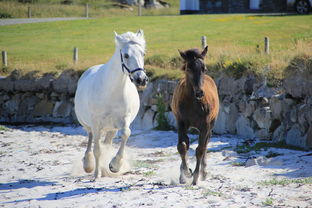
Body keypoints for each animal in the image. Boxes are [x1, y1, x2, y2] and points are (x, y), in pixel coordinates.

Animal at [75, 29, 149, 179]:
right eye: (126, 55)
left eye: (143, 53)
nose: (141, 80)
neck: (111, 91)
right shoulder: (96, 123)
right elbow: (97, 149)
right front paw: (96, 174)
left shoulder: (124, 119)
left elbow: (126, 133)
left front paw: (114, 165)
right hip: (90, 125)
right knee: (91, 138)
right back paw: (88, 165)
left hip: (111, 128)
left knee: (106, 143)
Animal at [171, 46, 219, 184]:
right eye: (188, 68)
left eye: (204, 68)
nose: (199, 92)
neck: (193, 102)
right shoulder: (180, 122)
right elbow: (182, 146)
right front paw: (186, 173)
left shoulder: (205, 125)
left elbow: (200, 149)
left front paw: (196, 176)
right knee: (186, 142)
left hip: (210, 125)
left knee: (206, 144)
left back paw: (204, 172)